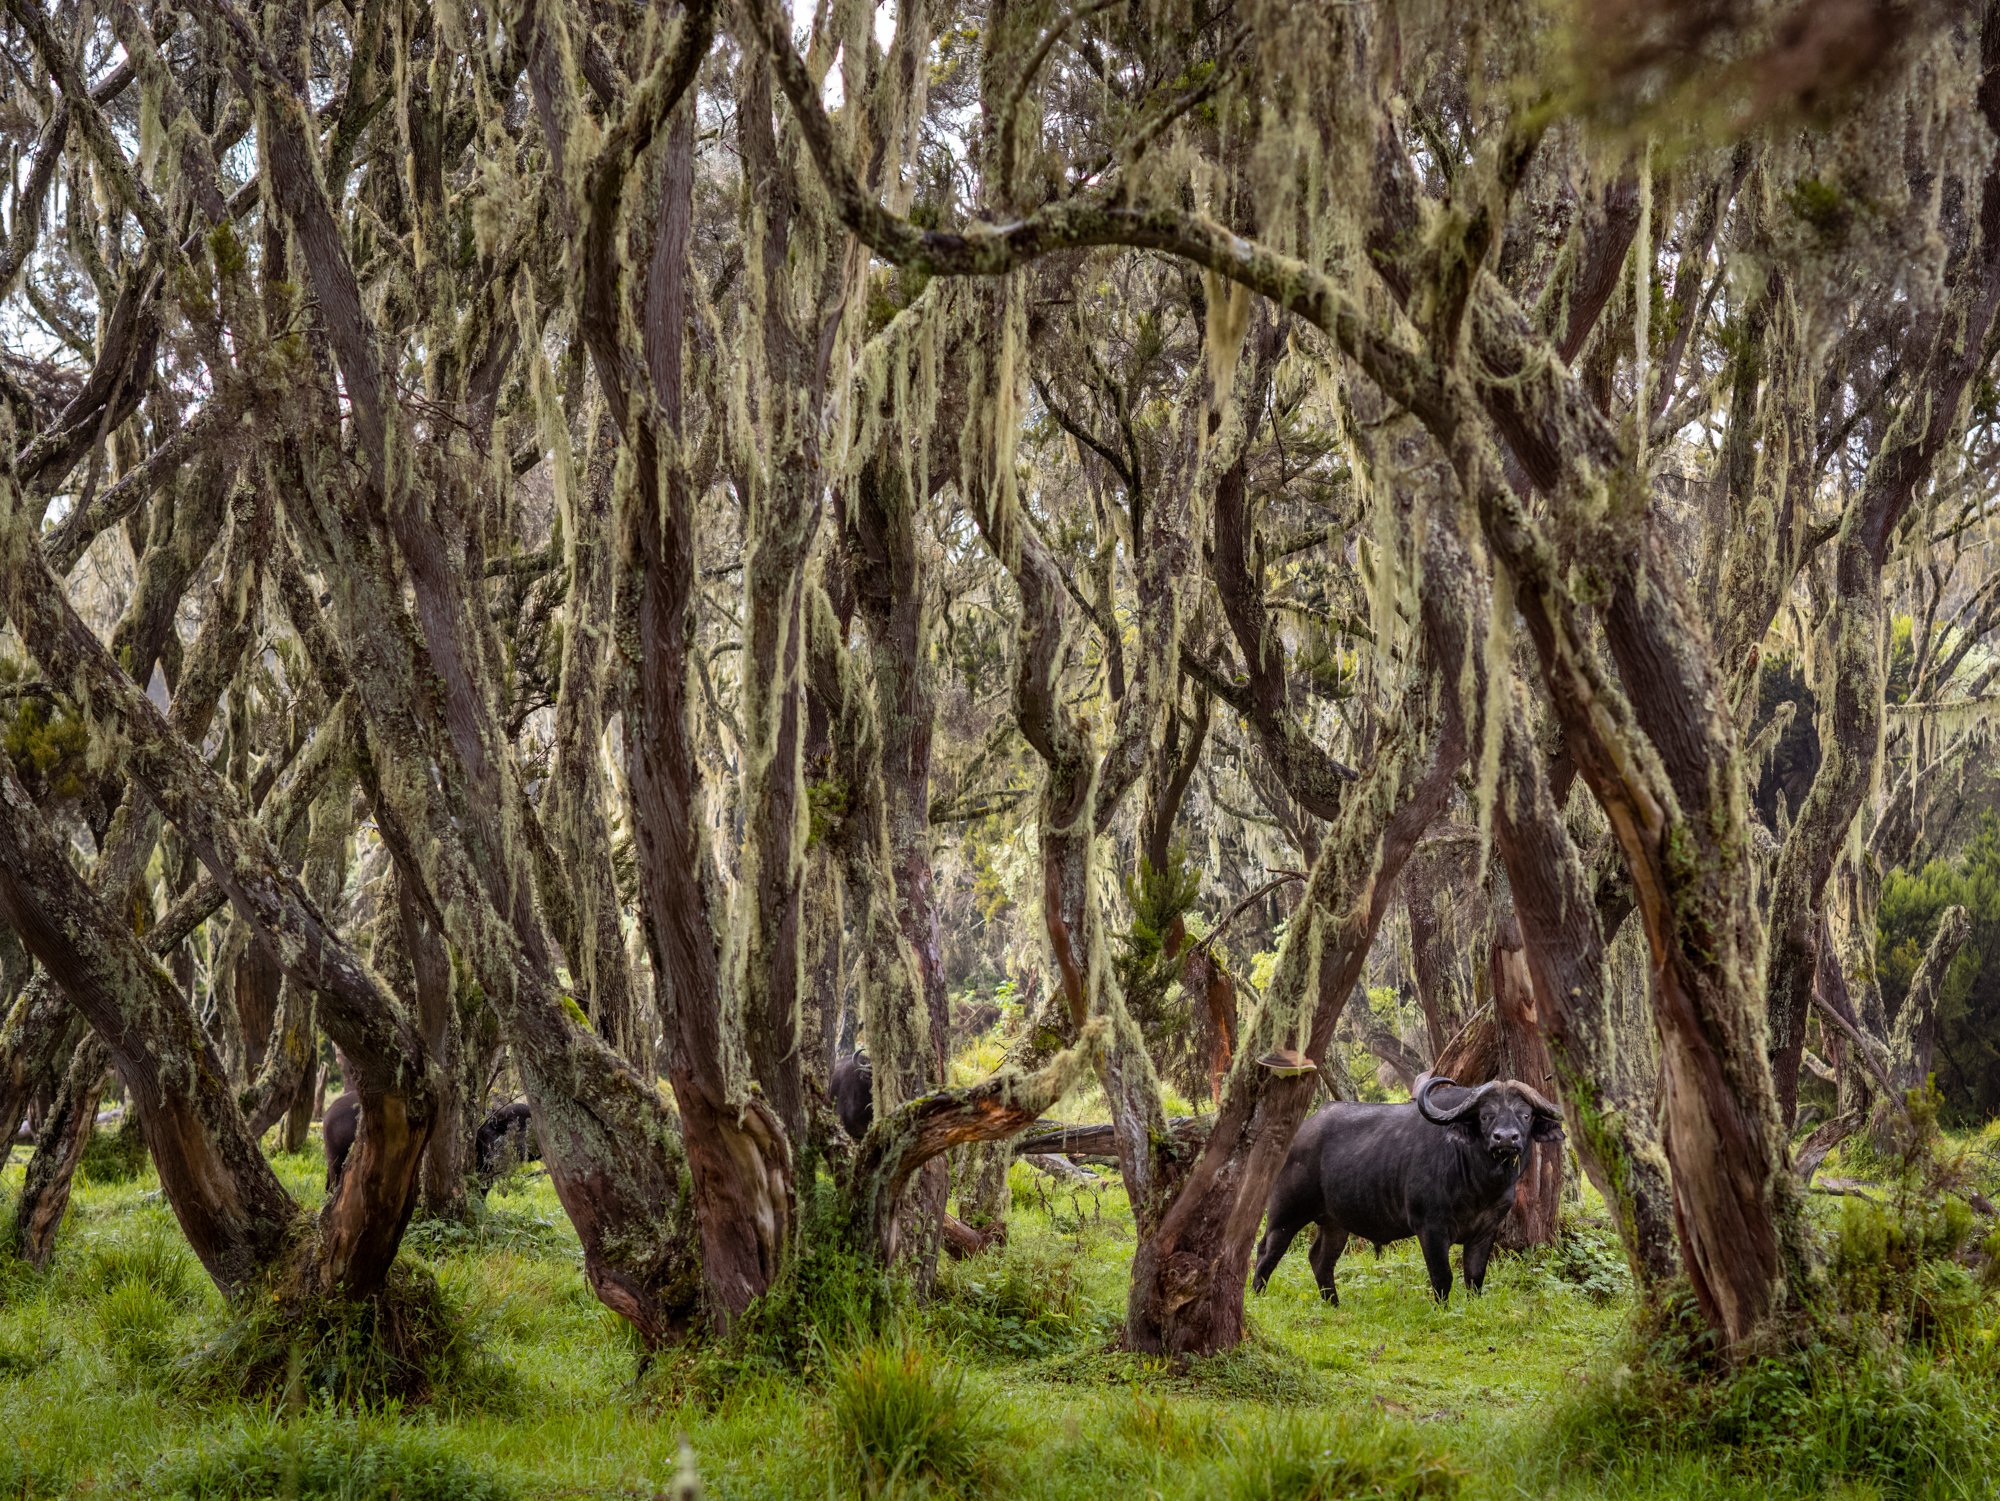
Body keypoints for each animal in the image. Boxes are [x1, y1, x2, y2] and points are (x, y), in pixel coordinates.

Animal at [1248, 1080, 1560, 1304]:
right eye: (1485, 1116)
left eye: (1526, 1115)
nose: (1505, 1138)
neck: (1478, 1184)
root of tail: (1299, 1135)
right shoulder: (1430, 1228)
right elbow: (1442, 1276)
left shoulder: (1486, 1230)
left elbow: (1474, 1276)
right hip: (1285, 1214)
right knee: (1266, 1251)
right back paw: (1257, 1296)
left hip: (1335, 1223)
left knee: (1319, 1259)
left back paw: (1333, 1304)